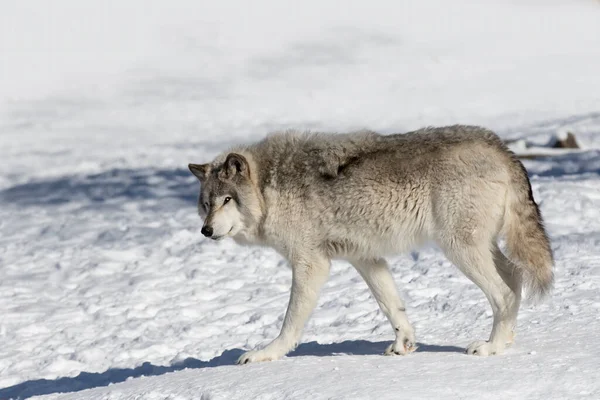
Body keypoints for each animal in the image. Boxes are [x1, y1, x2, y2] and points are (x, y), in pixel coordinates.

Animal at [188, 125, 552, 362]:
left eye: (227, 200)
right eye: (206, 204)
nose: (206, 231)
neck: (268, 188)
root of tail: (501, 147)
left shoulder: (311, 264)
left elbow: (290, 323)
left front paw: (266, 353)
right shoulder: (365, 258)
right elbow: (392, 306)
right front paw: (404, 345)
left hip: (459, 249)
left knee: (504, 293)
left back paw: (492, 347)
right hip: (478, 247)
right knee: (515, 277)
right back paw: (506, 341)